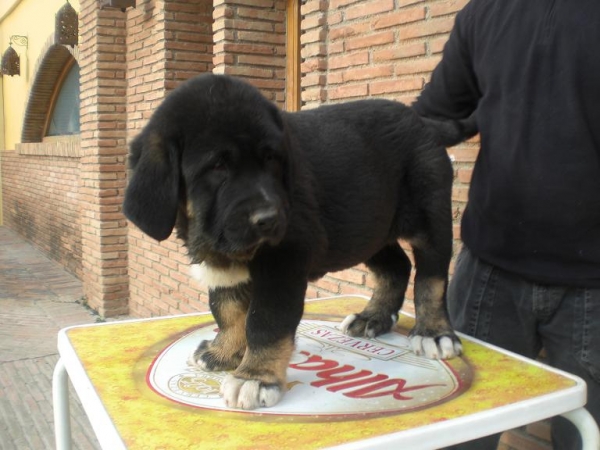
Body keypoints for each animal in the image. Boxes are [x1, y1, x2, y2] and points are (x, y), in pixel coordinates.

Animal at [124, 74, 474, 412]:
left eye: (271, 159)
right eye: (218, 166)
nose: (270, 218)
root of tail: (423, 122)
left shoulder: (283, 263)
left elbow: (264, 321)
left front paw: (256, 376)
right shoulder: (225, 261)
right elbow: (226, 308)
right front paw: (223, 352)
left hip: (428, 216)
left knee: (432, 277)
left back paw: (433, 332)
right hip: (368, 228)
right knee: (396, 267)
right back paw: (372, 317)